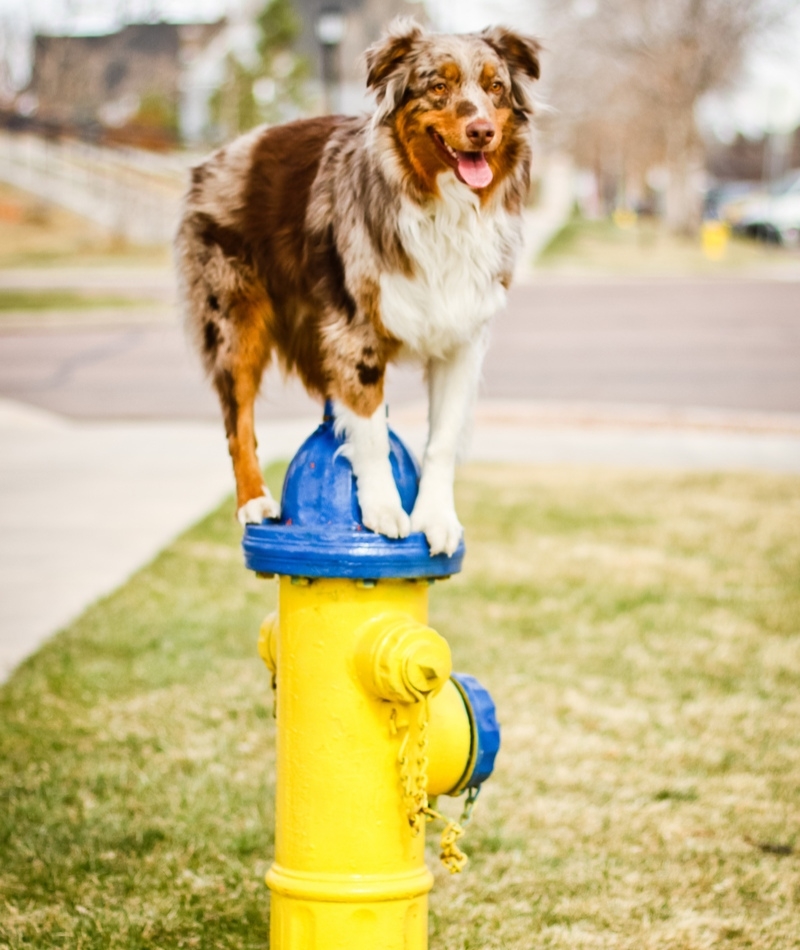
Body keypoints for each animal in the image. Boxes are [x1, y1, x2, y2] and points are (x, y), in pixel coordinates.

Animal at [173, 16, 540, 556]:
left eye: (496, 87)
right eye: (438, 86)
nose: (482, 132)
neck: (440, 207)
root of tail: (214, 158)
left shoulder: (462, 338)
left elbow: (443, 438)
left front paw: (435, 516)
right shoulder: (355, 332)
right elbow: (369, 428)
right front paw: (384, 509)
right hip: (234, 320)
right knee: (238, 420)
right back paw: (253, 500)